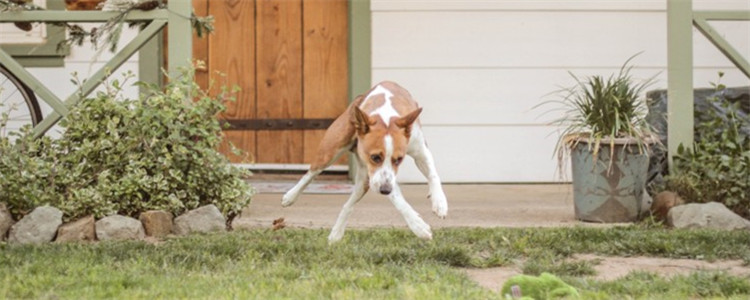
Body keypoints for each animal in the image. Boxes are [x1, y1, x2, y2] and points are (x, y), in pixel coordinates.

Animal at [280, 81, 446, 243]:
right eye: (375, 157)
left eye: (399, 159)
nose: (385, 190)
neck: (385, 118)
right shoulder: (376, 176)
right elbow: (397, 199)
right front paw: (418, 226)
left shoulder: (420, 152)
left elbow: (433, 175)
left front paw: (439, 201)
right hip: (330, 152)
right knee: (311, 173)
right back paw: (290, 196)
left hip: (363, 182)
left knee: (348, 205)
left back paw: (336, 233)